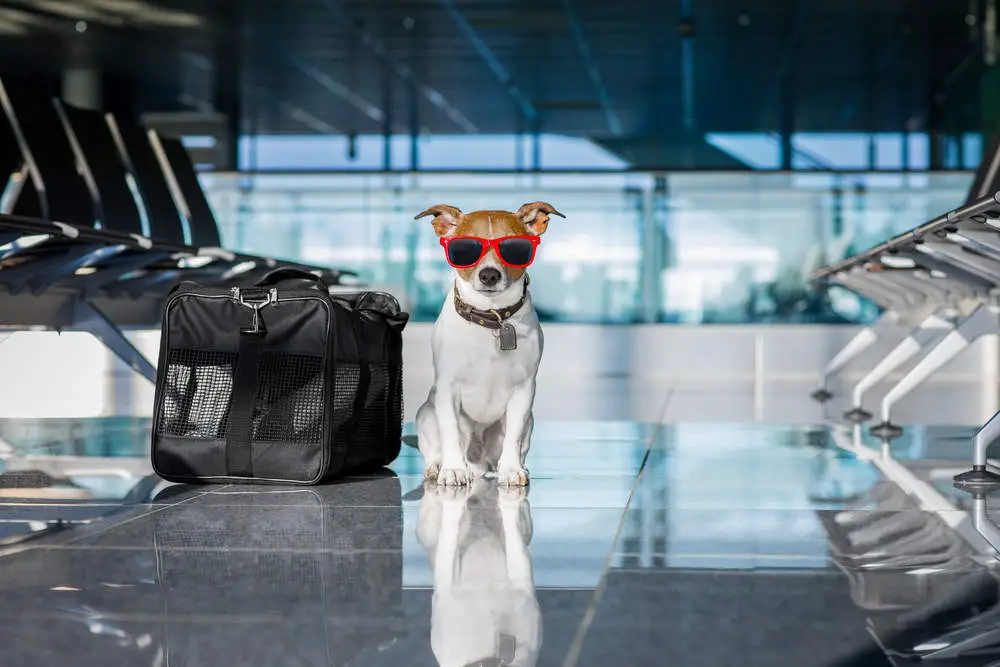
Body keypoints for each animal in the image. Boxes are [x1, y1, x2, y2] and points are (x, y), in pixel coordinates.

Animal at [412, 201, 564, 488]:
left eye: (515, 247)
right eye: (464, 248)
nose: (489, 275)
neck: (491, 317)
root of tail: (479, 464)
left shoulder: (524, 390)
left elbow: (514, 435)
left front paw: (512, 469)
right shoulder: (447, 388)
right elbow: (450, 430)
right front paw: (452, 469)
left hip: (530, 423)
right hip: (425, 413)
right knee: (435, 449)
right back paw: (440, 467)